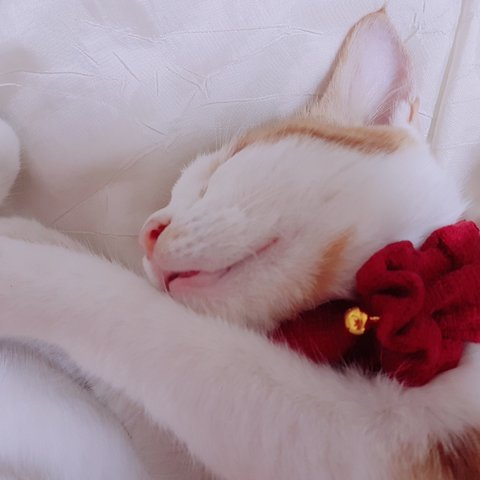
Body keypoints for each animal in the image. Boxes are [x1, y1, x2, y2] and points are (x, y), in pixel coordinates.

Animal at [0, 10, 478, 480]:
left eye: (226, 165)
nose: (148, 233)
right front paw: (18, 219)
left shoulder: (366, 438)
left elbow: (135, 311)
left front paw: (20, 267)